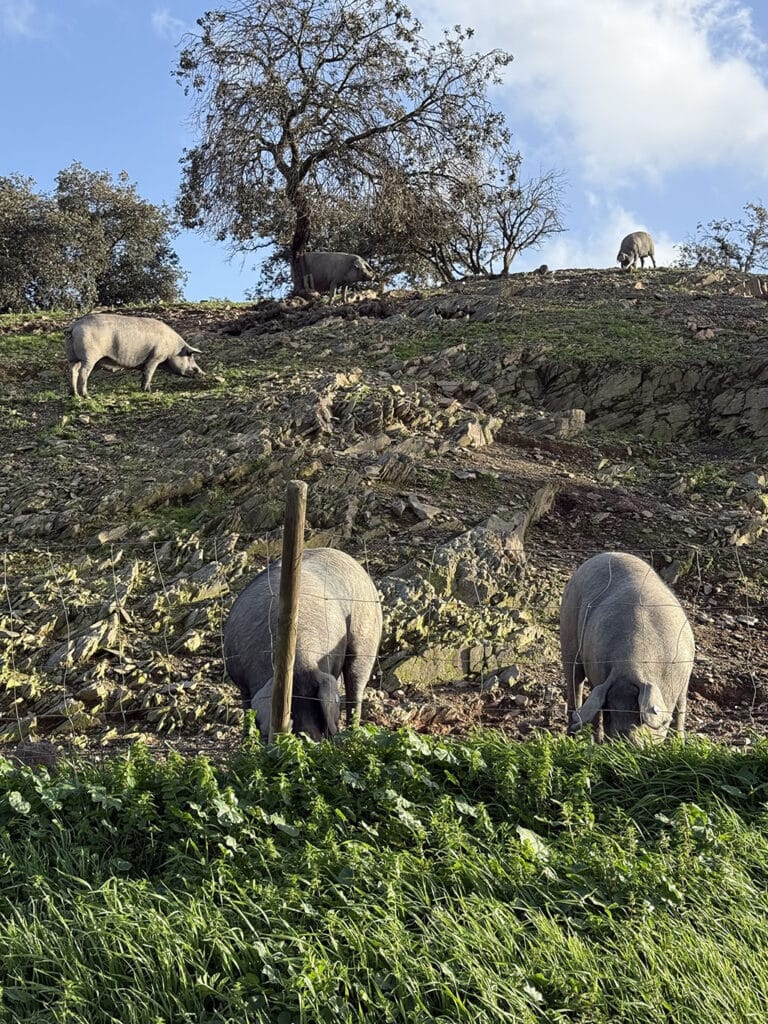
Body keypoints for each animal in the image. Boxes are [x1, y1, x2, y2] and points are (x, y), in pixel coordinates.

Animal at [65, 313, 204, 397]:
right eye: (190, 355)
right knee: (83, 372)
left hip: (72, 357)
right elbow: (149, 372)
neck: (173, 348)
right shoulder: (155, 357)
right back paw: (86, 396)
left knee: (73, 371)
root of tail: (74, 326)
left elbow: (144, 373)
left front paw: (143, 388)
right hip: (89, 356)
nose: (203, 373)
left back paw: (74, 395)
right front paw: (149, 391)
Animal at [224, 547, 383, 741]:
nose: (310, 737)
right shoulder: (241, 681)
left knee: (355, 687)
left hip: (366, 639)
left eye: (315, 707)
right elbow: (248, 712)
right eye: (291, 714)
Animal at [560, 551, 694, 741]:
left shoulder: (684, 678)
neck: (631, 667)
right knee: (576, 689)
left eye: (638, 714)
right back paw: (573, 736)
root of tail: (604, 555)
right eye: (611, 710)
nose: (624, 739)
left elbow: (680, 713)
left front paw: (678, 743)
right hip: (568, 640)